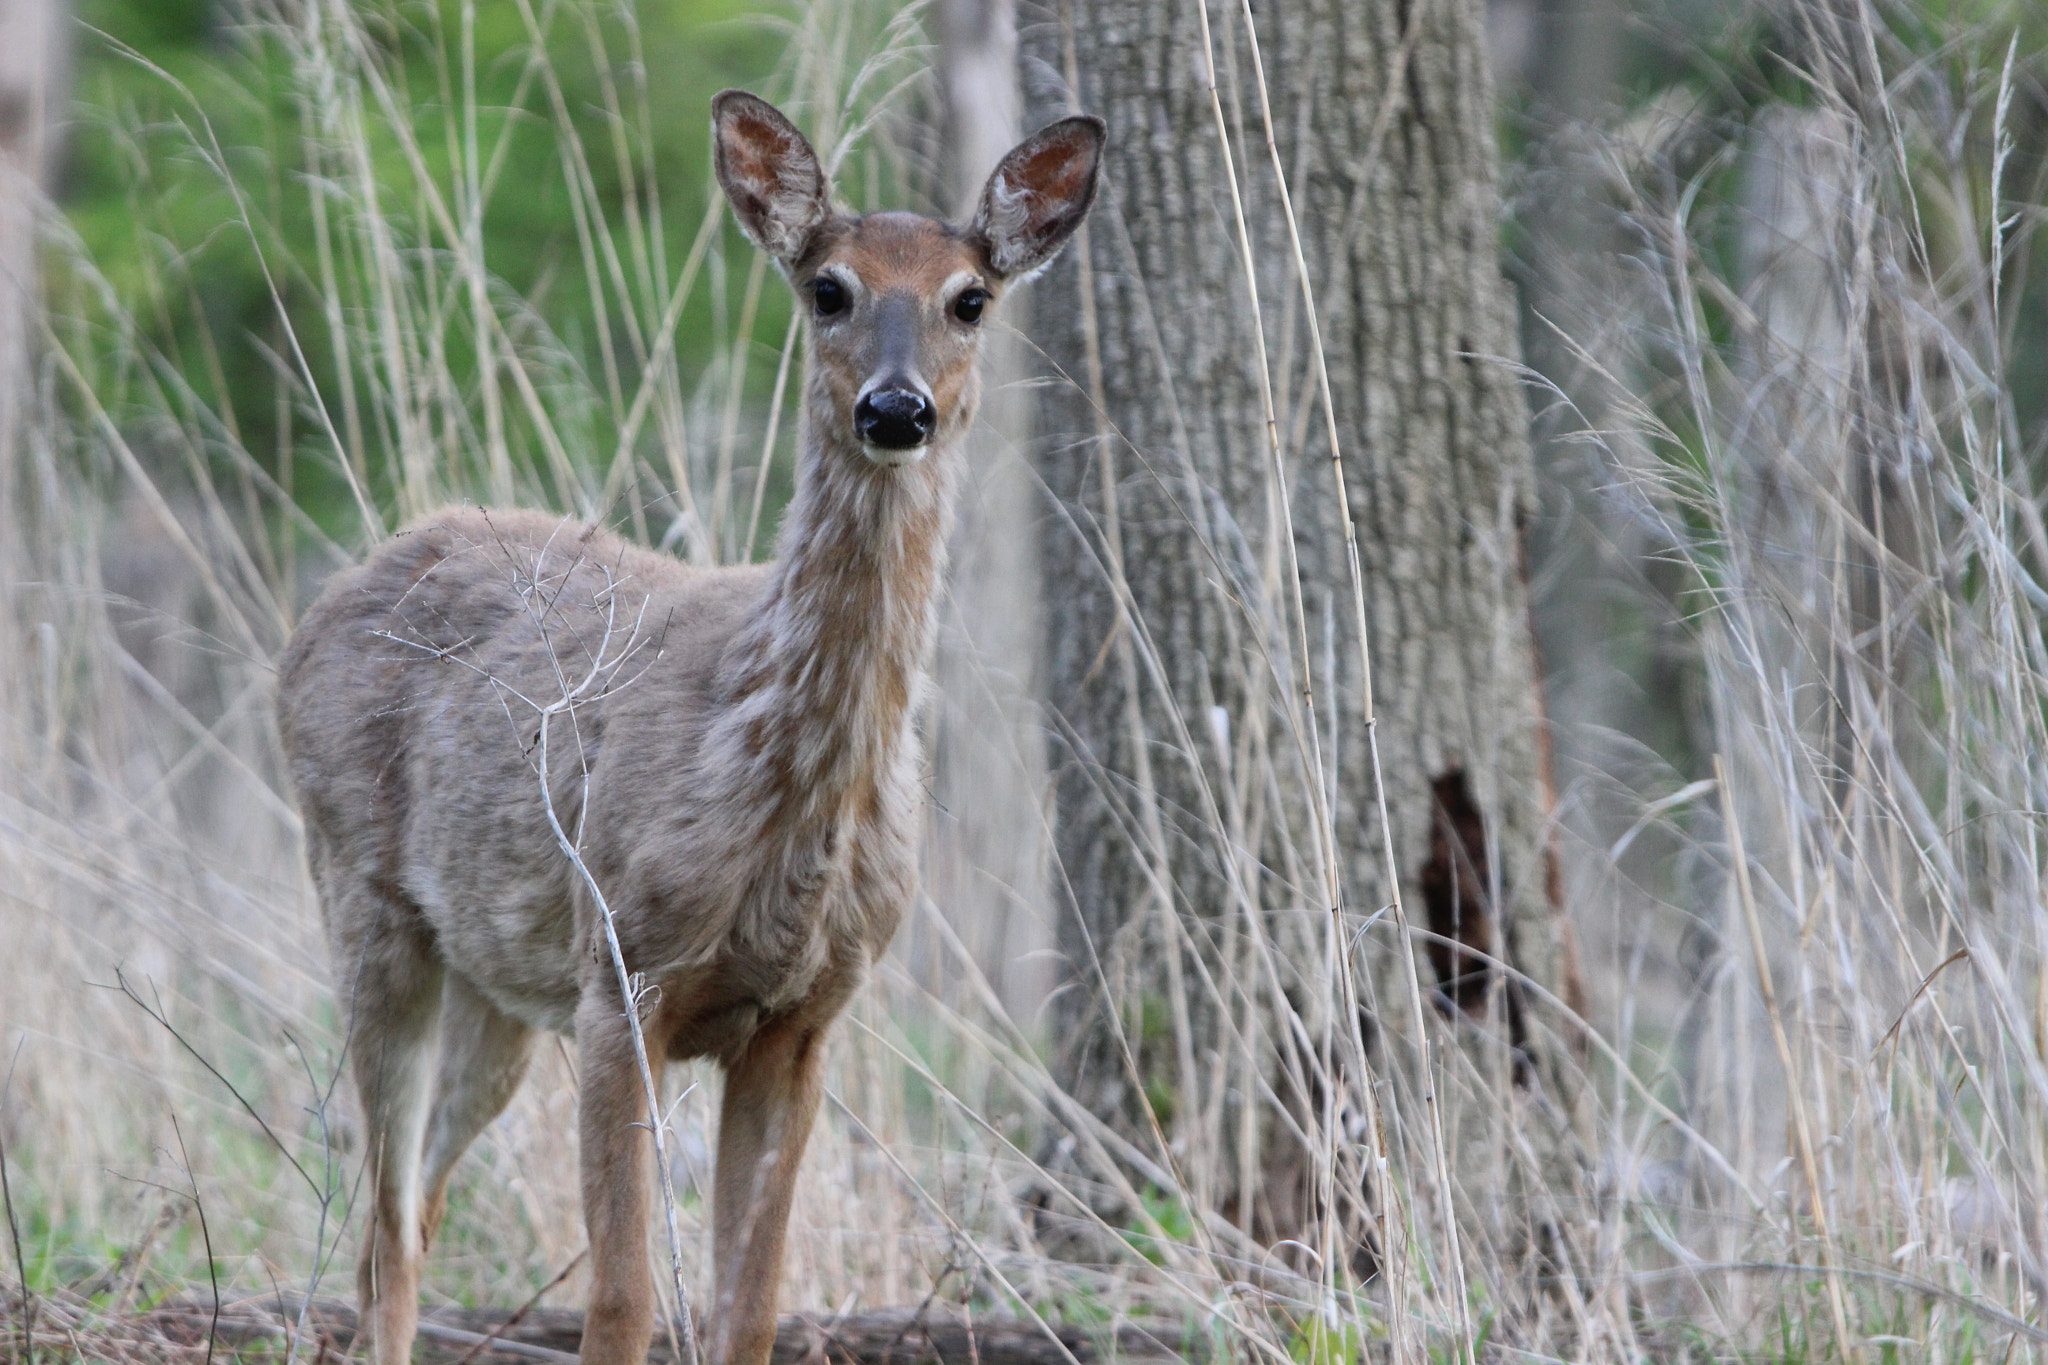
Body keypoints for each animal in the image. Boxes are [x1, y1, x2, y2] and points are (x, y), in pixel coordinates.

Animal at [276, 93, 1105, 1365]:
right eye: (827, 287)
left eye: (971, 297)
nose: (895, 407)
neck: (781, 772)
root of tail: (325, 604)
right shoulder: (624, 972)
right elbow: (621, 1299)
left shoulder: (803, 1018)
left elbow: (748, 1305)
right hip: (365, 901)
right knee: (383, 1229)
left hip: (495, 987)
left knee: (412, 1210)